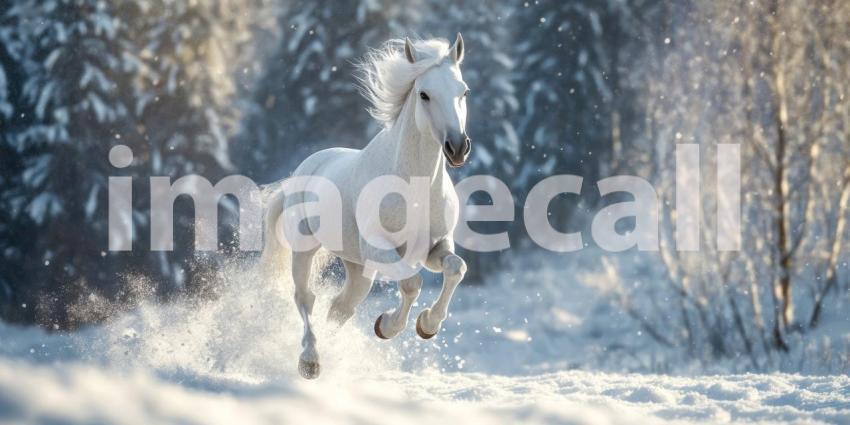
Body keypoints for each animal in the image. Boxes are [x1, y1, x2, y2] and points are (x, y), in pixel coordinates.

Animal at [261, 34, 472, 379]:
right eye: (424, 94)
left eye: (463, 92)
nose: (457, 148)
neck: (415, 188)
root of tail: (306, 167)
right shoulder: (381, 248)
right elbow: (411, 282)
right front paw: (387, 326)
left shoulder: (436, 247)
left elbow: (456, 268)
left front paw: (427, 326)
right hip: (305, 249)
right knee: (305, 298)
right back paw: (310, 361)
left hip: (358, 268)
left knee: (341, 307)